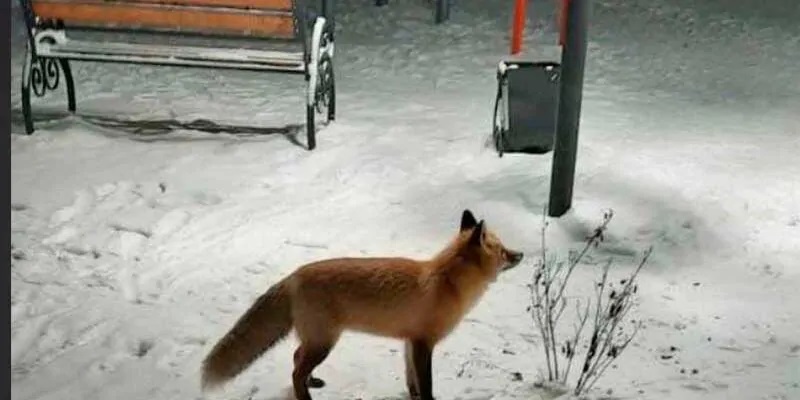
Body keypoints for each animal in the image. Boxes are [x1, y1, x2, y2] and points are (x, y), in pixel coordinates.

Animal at [200, 209, 524, 400]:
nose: (521, 254)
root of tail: (293, 275)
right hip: (324, 342)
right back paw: (305, 397)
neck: (447, 283)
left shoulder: (409, 341)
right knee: (295, 371)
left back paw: (311, 384)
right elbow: (426, 384)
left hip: (316, 341)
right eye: (503, 251)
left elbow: (412, 381)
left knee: (295, 359)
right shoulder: (423, 342)